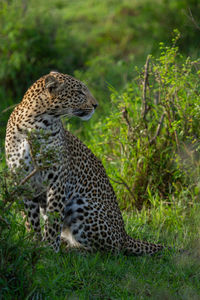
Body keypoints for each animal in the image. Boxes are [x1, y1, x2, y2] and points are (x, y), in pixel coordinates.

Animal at [5, 71, 164, 255]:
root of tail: (125, 235)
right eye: (79, 92)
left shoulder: (57, 180)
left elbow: (53, 220)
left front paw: (49, 250)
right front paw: (33, 243)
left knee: (108, 250)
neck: (35, 124)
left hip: (82, 207)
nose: (96, 105)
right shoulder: (24, 181)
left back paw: (71, 249)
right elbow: (31, 219)